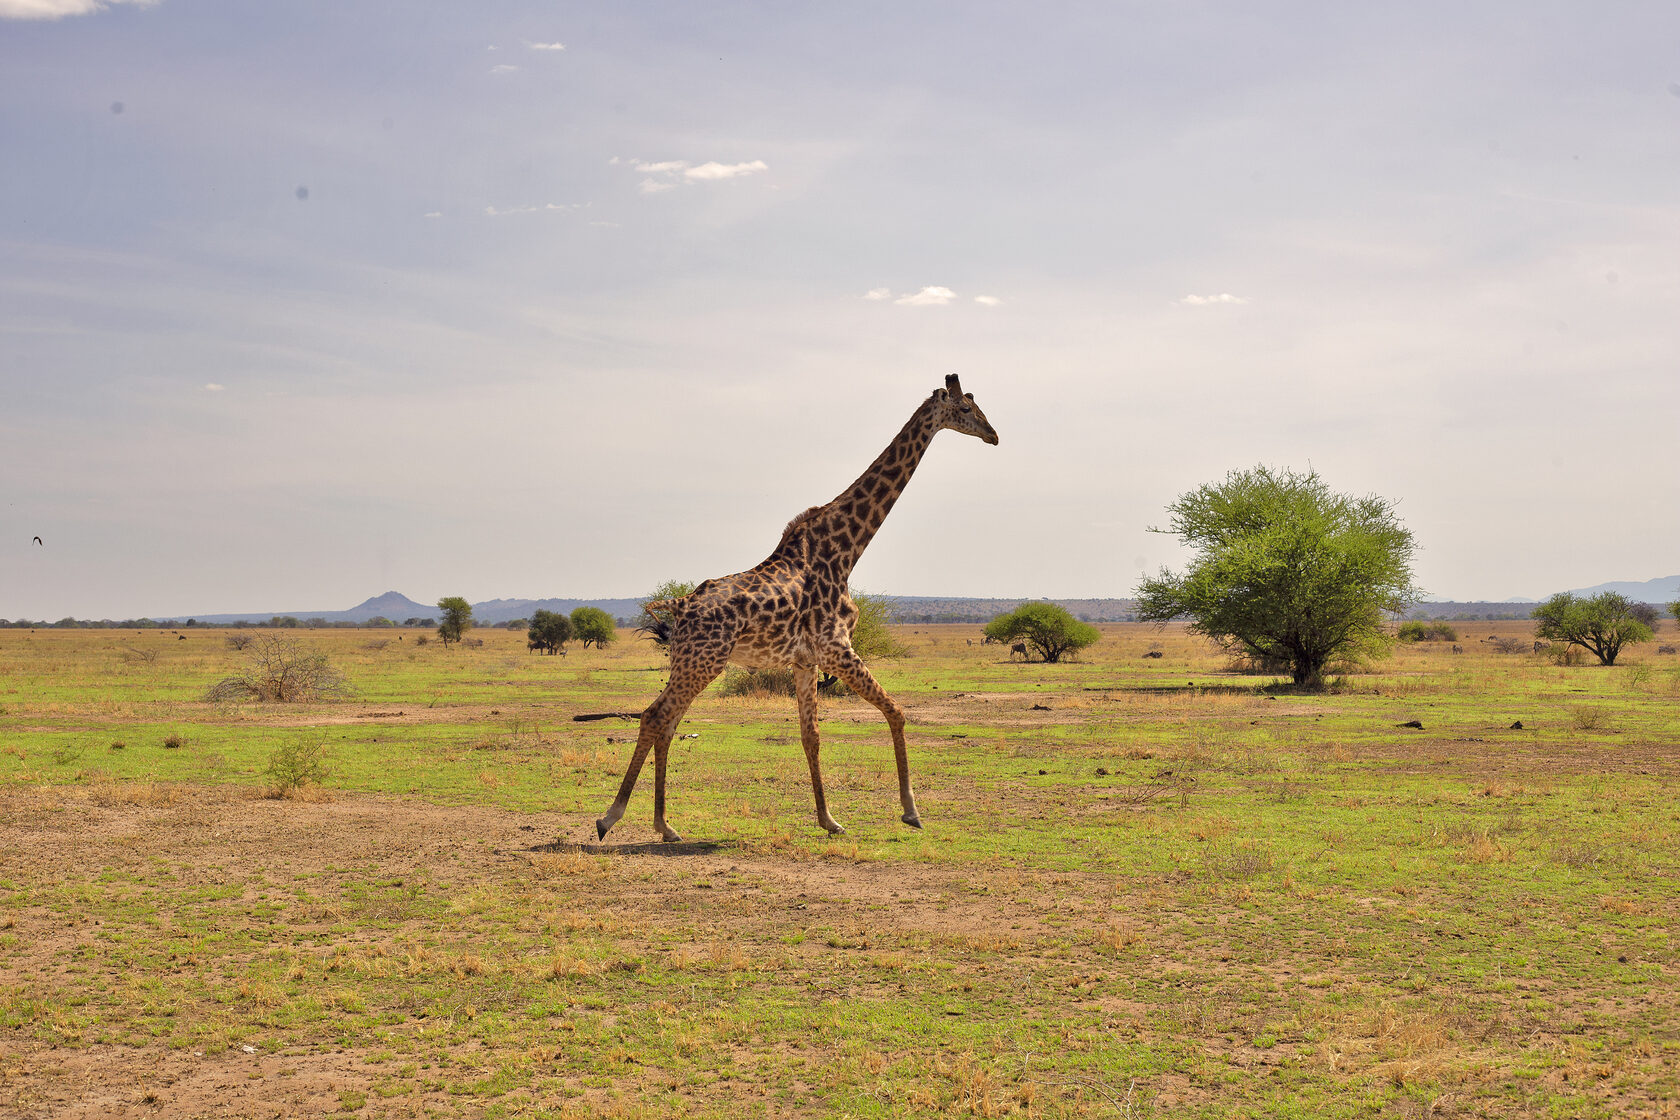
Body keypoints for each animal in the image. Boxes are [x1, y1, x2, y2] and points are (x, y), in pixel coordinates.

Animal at [598, 374, 994, 839]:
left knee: (668, 722)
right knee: (654, 717)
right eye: (966, 409)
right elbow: (896, 712)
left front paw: (829, 819)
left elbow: (811, 736)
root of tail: (680, 607)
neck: (845, 550)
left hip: (691, 662)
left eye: (978, 406)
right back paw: (612, 817)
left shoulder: (806, 660)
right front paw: (911, 811)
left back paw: (665, 824)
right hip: (702, 661)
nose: (993, 436)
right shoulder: (836, 649)